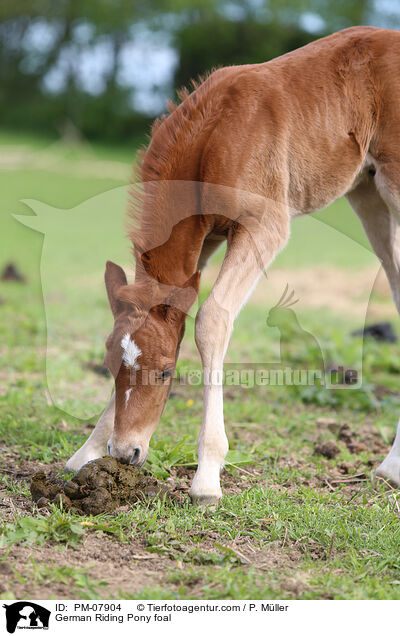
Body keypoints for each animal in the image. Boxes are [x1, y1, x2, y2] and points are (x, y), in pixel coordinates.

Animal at [67, 27, 400, 504]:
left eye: (166, 371)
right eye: (110, 365)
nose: (127, 452)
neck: (216, 132)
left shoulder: (265, 226)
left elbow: (211, 321)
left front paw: (207, 477)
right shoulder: (203, 241)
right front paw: (88, 452)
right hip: (367, 191)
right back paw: (390, 468)